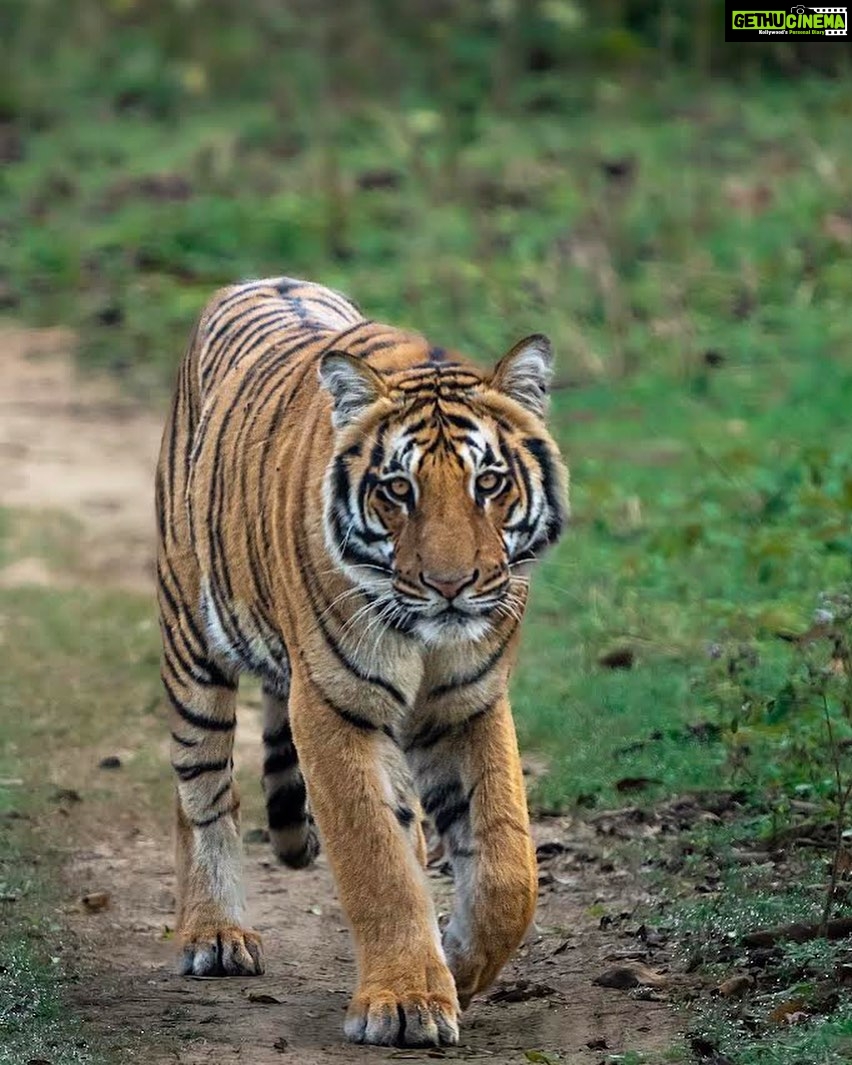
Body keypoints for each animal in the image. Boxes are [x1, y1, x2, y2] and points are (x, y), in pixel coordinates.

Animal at [155, 276, 568, 1047]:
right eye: (399, 488)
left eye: (489, 483)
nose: (450, 584)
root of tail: (256, 279)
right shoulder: (333, 705)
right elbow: (377, 860)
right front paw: (406, 1002)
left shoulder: (468, 703)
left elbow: (508, 866)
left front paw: (459, 965)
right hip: (189, 637)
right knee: (202, 790)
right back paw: (215, 933)